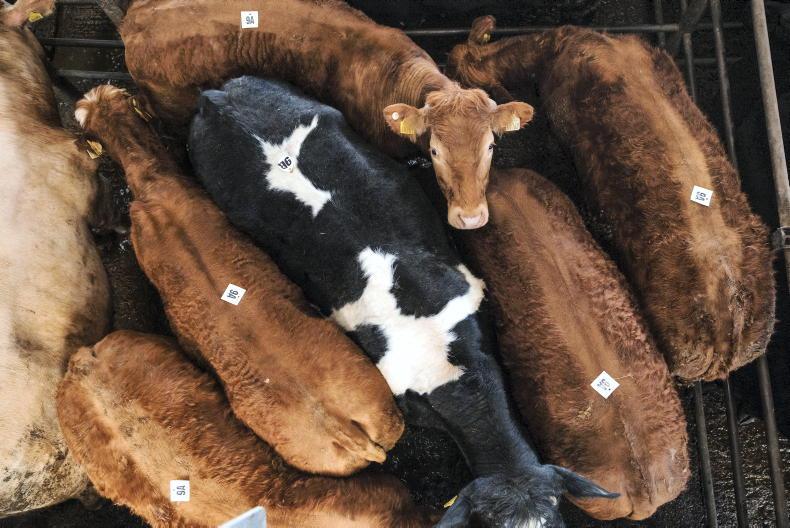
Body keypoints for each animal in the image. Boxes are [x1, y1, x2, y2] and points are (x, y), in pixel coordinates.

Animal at [119, 0, 535, 229]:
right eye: (435, 151)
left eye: (491, 146)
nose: (470, 218)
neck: (394, 75)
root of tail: (135, 19)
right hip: (173, 110)